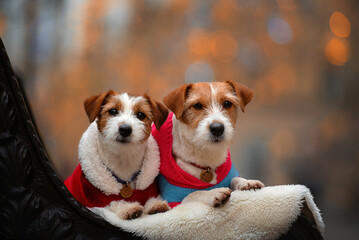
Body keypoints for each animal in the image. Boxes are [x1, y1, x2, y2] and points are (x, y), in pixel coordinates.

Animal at [64, 89, 170, 219]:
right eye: (113, 111)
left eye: (140, 115)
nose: (125, 129)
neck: (124, 162)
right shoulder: (92, 200)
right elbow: (111, 203)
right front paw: (127, 208)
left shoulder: (149, 189)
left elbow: (151, 197)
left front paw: (155, 204)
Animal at [153, 80, 266, 208]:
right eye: (197, 105)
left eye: (227, 103)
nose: (217, 128)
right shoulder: (173, 201)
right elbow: (195, 193)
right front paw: (213, 192)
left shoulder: (229, 175)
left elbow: (234, 179)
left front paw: (246, 182)